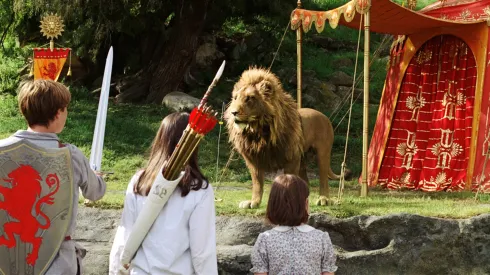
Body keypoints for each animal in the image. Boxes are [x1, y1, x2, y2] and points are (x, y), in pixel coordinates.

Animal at [226, 67, 344, 209]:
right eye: (235, 98)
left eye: (249, 98)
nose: (233, 112)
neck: (258, 131)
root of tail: (324, 116)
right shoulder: (254, 159)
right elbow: (257, 183)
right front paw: (253, 202)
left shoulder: (291, 158)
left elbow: (289, 182)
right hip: (302, 159)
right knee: (306, 181)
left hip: (322, 153)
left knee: (323, 178)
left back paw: (324, 199)